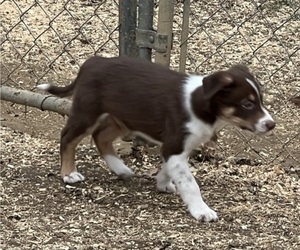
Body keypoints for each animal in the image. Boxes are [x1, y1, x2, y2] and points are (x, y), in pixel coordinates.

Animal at [38, 56, 276, 221]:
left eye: (260, 100)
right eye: (247, 104)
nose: (271, 124)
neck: (200, 104)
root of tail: (93, 61)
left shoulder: (177, 149)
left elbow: (168, 169)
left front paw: (162, 183)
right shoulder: (175, 145)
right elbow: (190, 184)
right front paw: (202, 211)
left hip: (123, 118)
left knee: (101, 137)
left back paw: (121, 169)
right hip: (87, 112)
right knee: (68, 137)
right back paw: (69, 174)